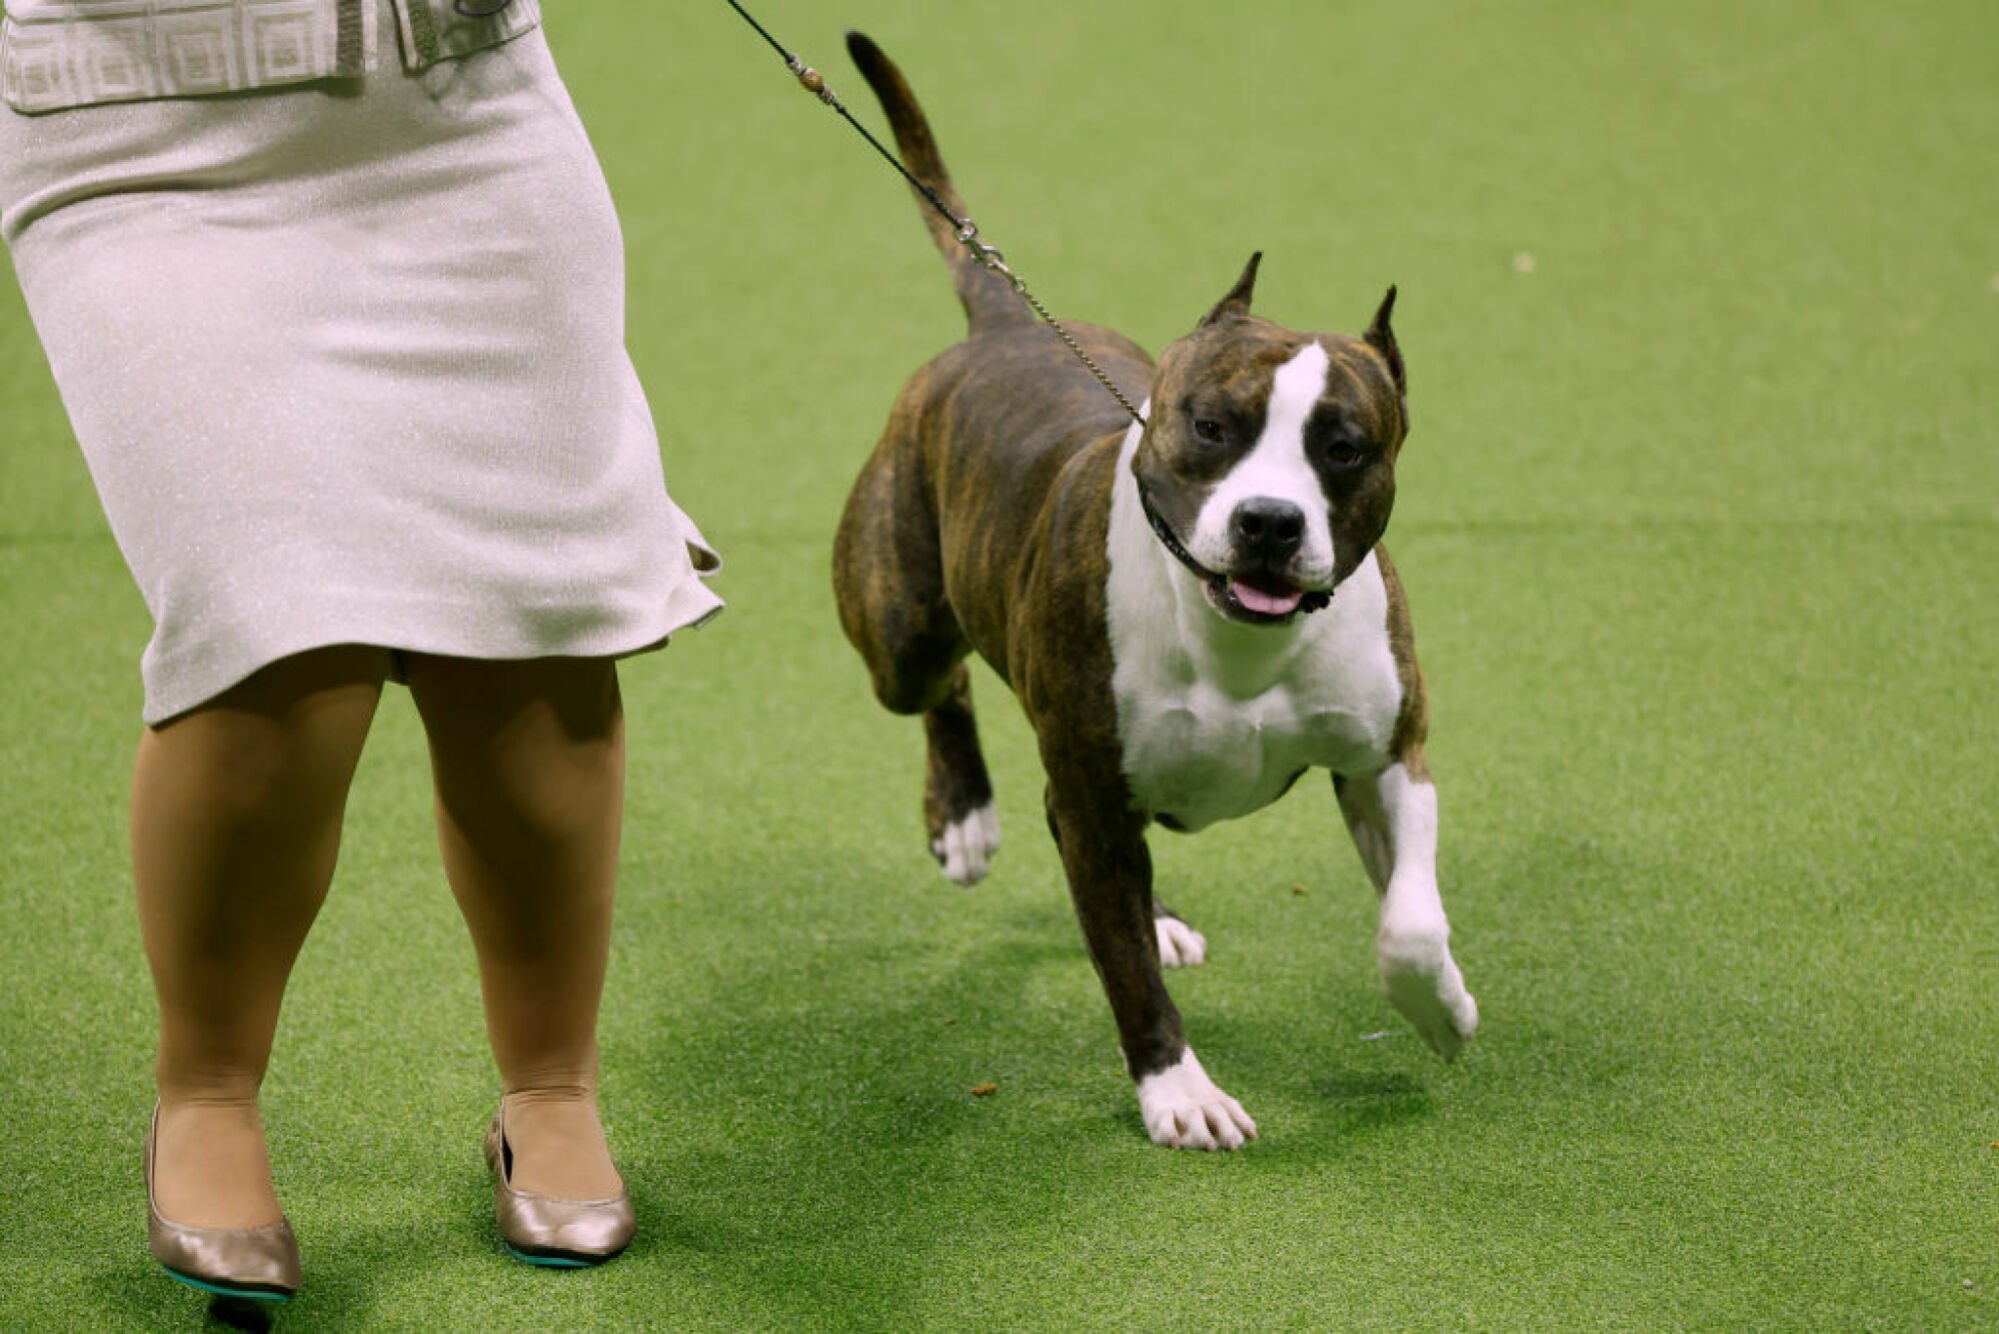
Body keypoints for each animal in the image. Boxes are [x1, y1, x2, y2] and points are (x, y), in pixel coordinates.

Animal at [835, 36, 1479, 1152]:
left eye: (1344, 448)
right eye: (1211, 426)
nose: (1269, 521)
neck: (1237, 643)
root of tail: (1001, 318)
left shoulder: (1386, 755)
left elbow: (1408, 918)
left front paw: (1439, 1006)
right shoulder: (1093, 797)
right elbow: (1126, 976)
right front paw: (1178, 1092)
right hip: (900, 625)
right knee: (938, 684)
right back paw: (964, 817)